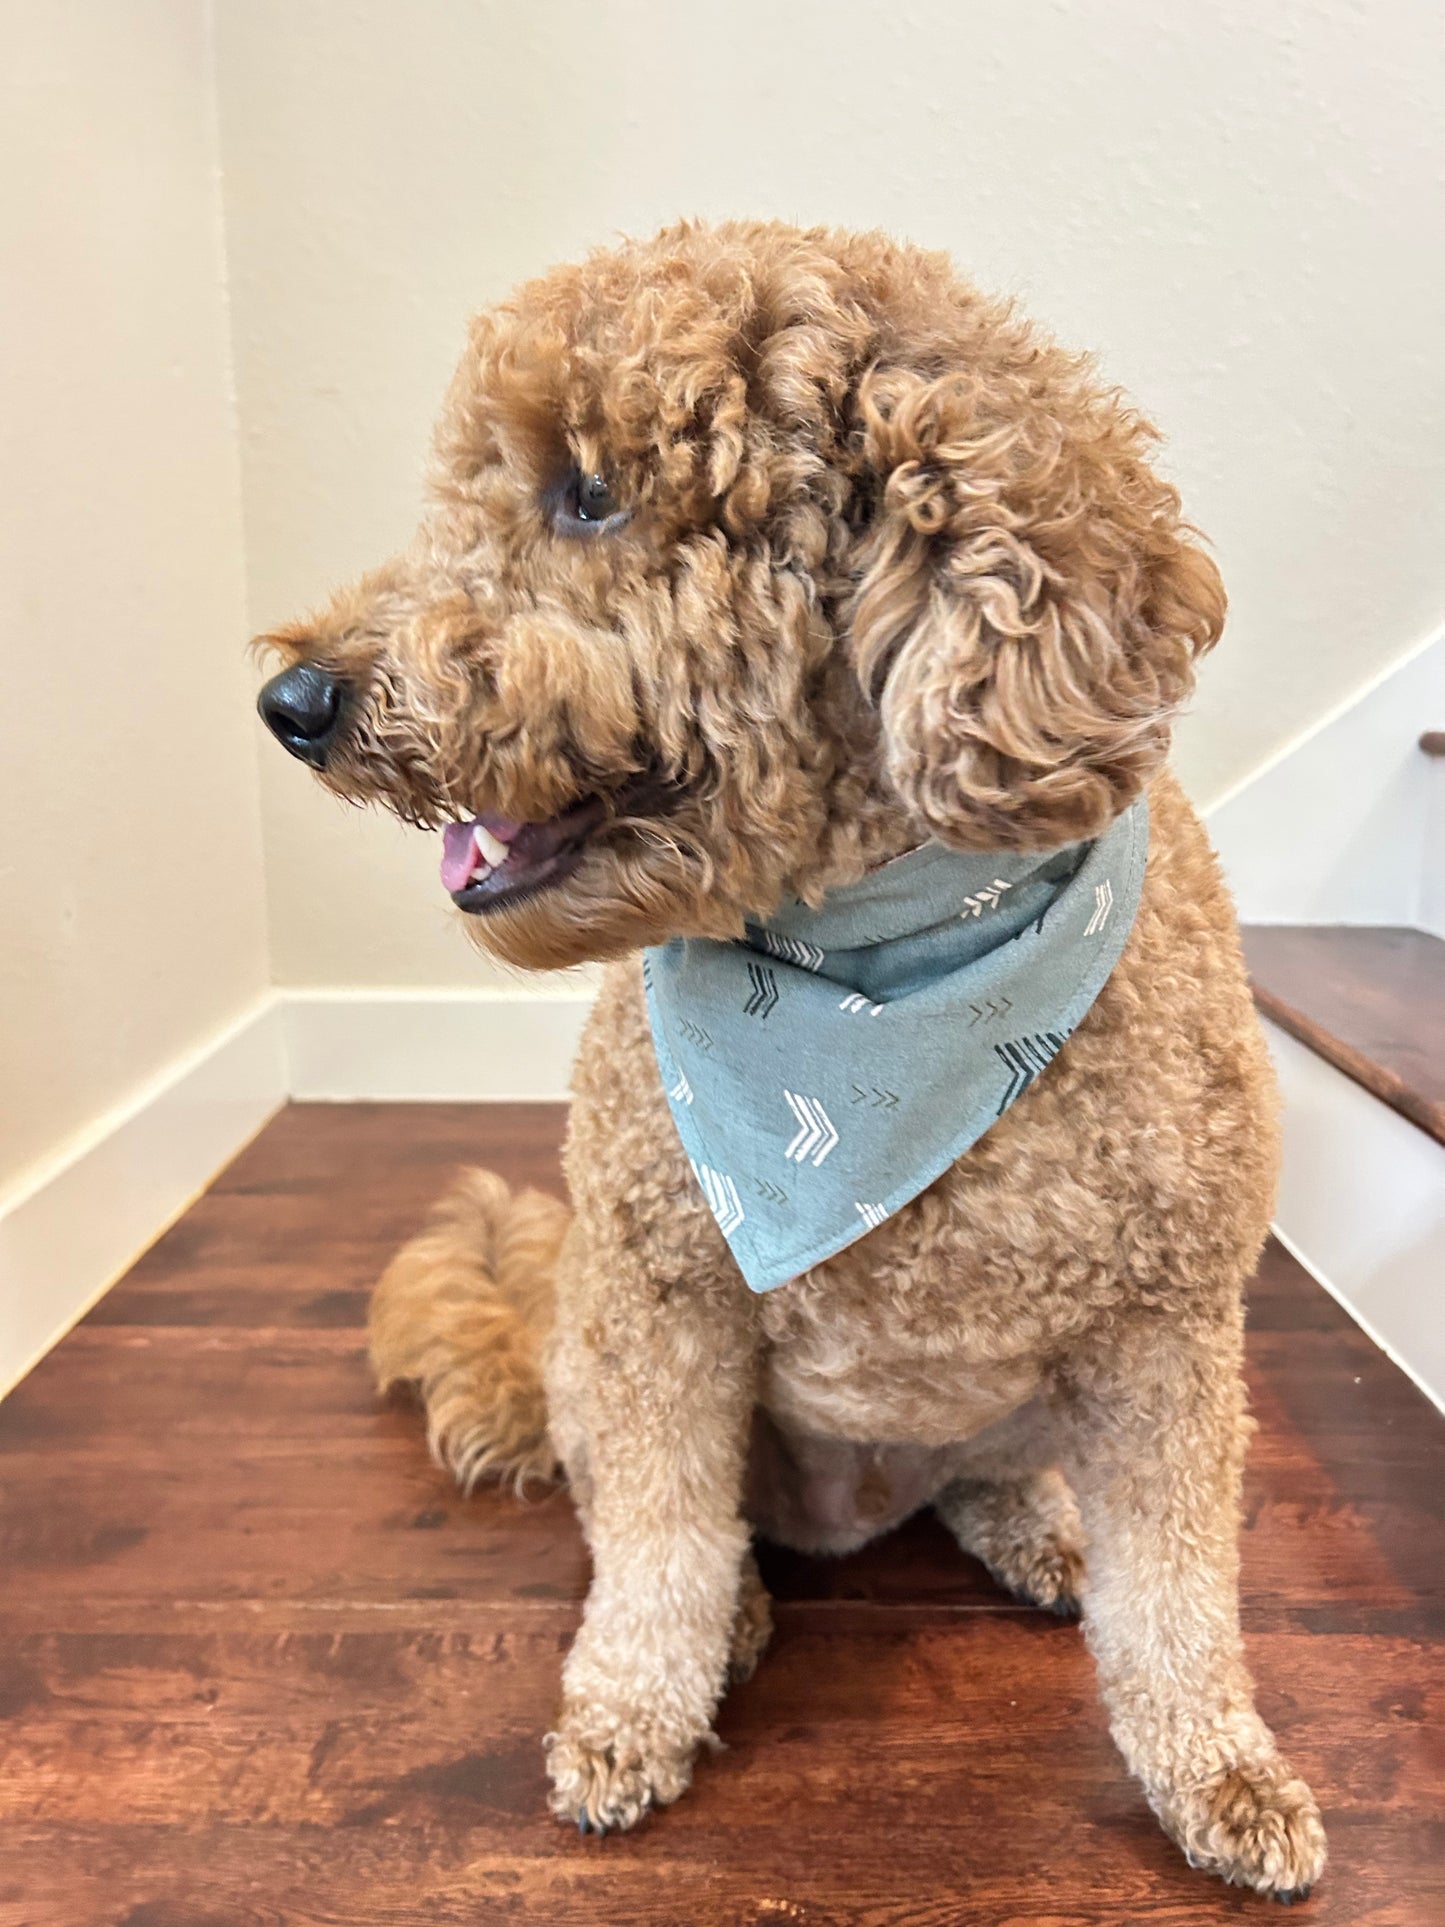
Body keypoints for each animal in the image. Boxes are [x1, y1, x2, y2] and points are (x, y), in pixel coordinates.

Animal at [263, 214, 1333, 1896]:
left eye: (589, 490)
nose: (293, 699)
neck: (867, 977)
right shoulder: (658, 1301)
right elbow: (656, 1551)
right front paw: (633, 1713)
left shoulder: (1165, 1331)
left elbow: (1175, 1594)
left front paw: (1219, 1771)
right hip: (596, 1353)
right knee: (665, 1519)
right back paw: (752, 1607)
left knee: (983, 1478)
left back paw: (1037, 1524)